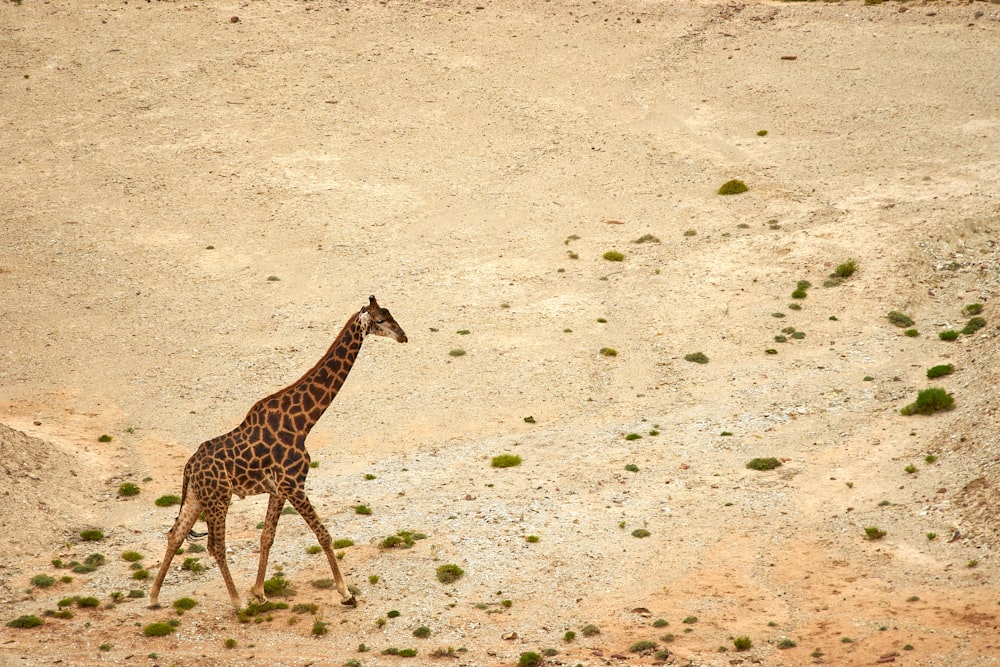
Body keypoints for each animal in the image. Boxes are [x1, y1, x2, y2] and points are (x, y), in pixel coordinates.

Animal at [149, 294, 406, 612]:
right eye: (381, 319)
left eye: (391, 315)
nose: (403, 336)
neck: (303, 423)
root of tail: (188, 468)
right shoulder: (294, 484)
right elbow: (323, 534)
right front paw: (346, 593)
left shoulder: (279, 488)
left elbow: (267, 537)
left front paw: (260, 592)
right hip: (219, 498)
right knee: (215, 546)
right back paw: (237, 603)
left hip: (198, 496)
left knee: (175, 535)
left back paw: (154, 597)